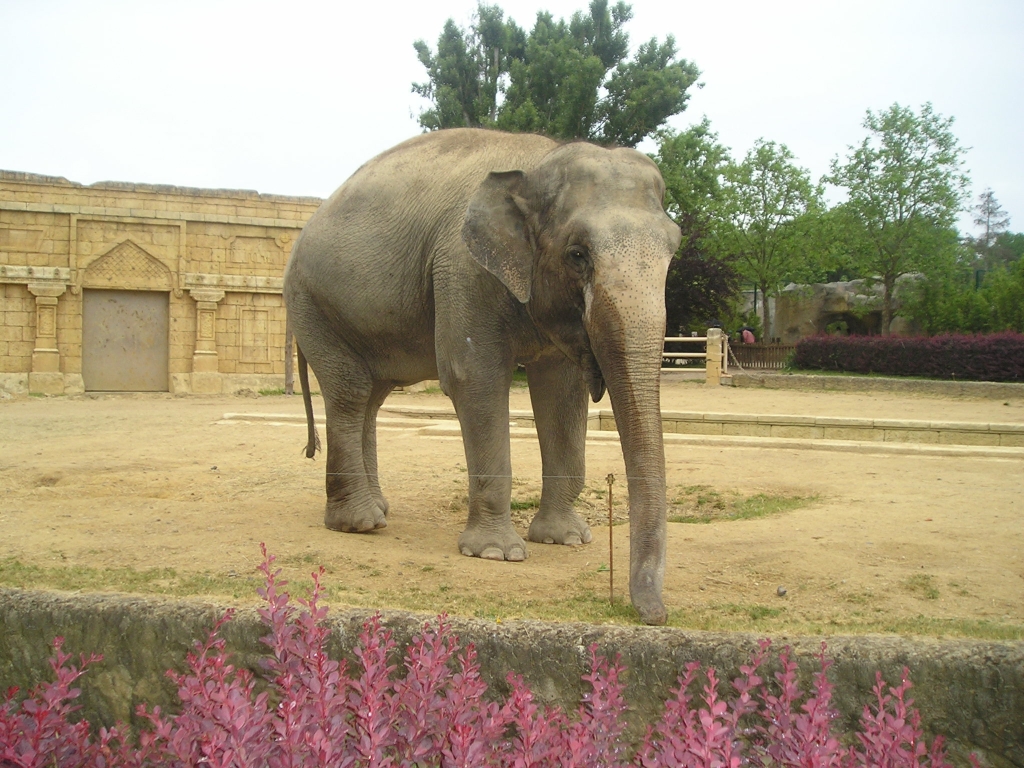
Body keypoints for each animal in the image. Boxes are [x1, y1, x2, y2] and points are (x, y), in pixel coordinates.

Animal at [282, 128, 679, 626]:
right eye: (577, 254)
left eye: (674, 250)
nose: (655, 615)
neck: (537, 164)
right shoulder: (463, 270)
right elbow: (473, 378)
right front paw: (496, 554)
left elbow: (561, 393)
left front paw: (565, 539)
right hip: (310, 303)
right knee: (351, 393)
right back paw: (360, 524)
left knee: (371, 398)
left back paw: (379, 509)